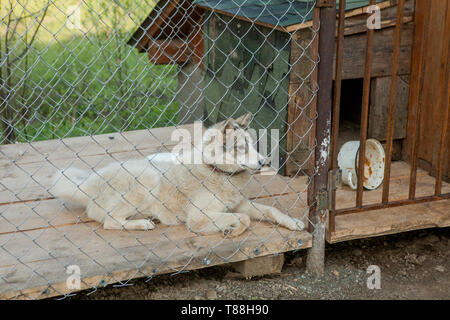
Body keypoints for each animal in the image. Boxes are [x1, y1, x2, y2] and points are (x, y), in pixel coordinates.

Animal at [51, 113, 306, 238]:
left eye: (253, 145)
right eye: (241, 147)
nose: (264, 162)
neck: (216, 171)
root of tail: (88, 183)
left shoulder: (240, 204)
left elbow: (271, 210)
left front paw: (293, 222)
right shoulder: (198, 216)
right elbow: (243, 219)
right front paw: (232, 230)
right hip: (148, 178)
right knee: (110, 222)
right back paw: (142, 223)